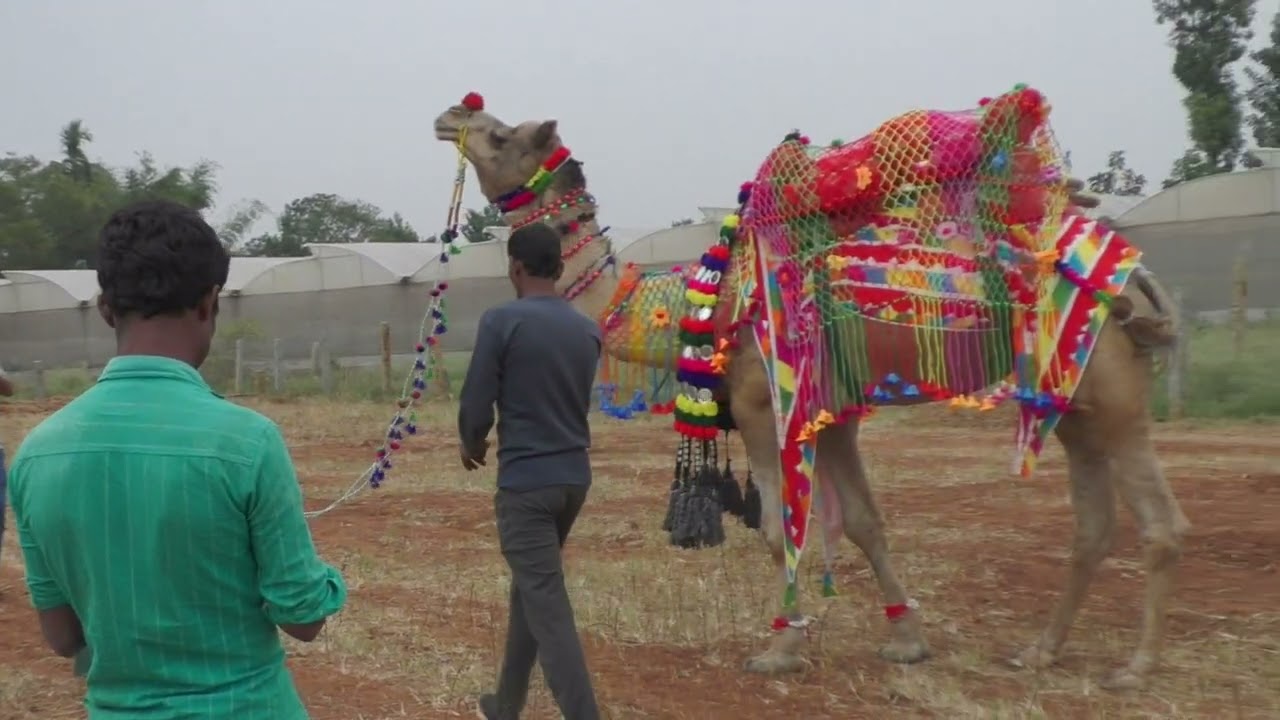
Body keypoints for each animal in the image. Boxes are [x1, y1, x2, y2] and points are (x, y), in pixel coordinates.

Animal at [433, 95, 1189, 691]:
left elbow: (778, 531)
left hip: (1115, 395)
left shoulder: (761, 405)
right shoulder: (837, 415)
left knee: (1160, 525)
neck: (696, 299)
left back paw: (1135, 667)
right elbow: (863, 522)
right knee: (1093, 526)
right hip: (1073, 404)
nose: (451, 116)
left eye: (502, 135)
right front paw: (907, 641)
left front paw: (781, 649)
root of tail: (1135, 276)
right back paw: (1041, 651)